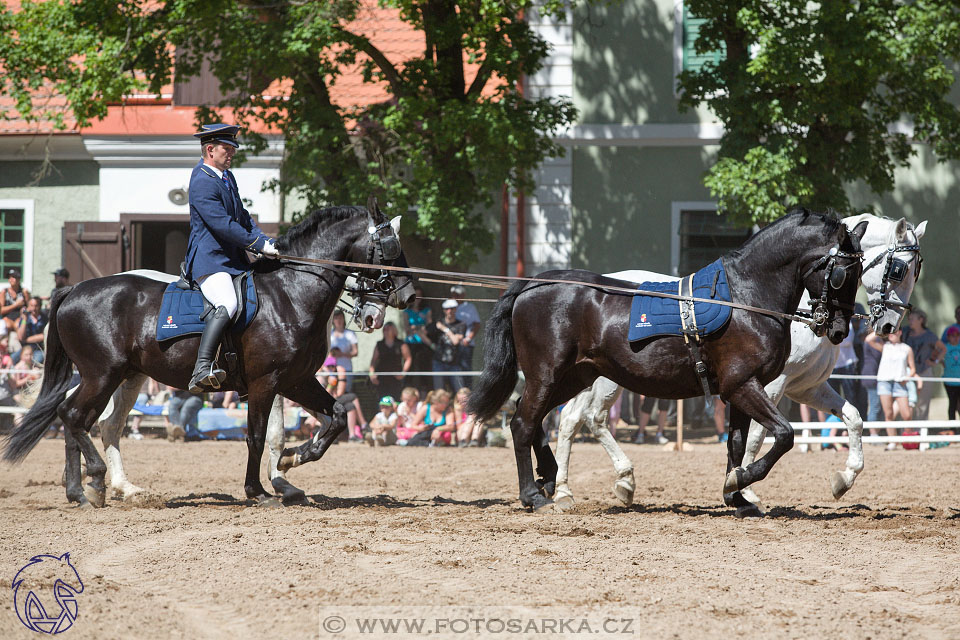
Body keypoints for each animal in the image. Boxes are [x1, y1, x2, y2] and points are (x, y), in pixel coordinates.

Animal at [3, 202, 416, 508]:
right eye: (391, 249)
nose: (407, 297)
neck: (290, 293)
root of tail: (74, 290)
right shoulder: (266, 383)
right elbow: (257, 434)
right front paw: (259, 491)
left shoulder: (296, 380)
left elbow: (336, 418)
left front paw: (292, 460)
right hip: (101, 374)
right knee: (74, 416)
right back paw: (93, 483)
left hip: (124, 377)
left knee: (95, 422)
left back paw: (98, 489)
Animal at [468, 212, 868, 512]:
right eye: (841, 274)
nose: (838, 329)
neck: (744, 298)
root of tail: (532, 284)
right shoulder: (745, 385)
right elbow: (783, 435)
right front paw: (741, 481)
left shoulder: (740, 390)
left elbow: (737, 444)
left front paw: (736, 495)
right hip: (547, 373)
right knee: (524, 423)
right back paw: (535, 496)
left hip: (573, 376)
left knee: (534, 418)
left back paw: (551, 478)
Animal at [556, 215, 924, 516]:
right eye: (898, 268)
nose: (889, 325)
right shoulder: (767, 385)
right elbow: (764, 436)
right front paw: (743, 485)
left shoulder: (807, 387)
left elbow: (853, 417)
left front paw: (843, 479)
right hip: (607, 379)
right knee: (593, 417)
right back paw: (615, 482)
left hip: (589, 375)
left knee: (572, 418)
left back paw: (567, 490)